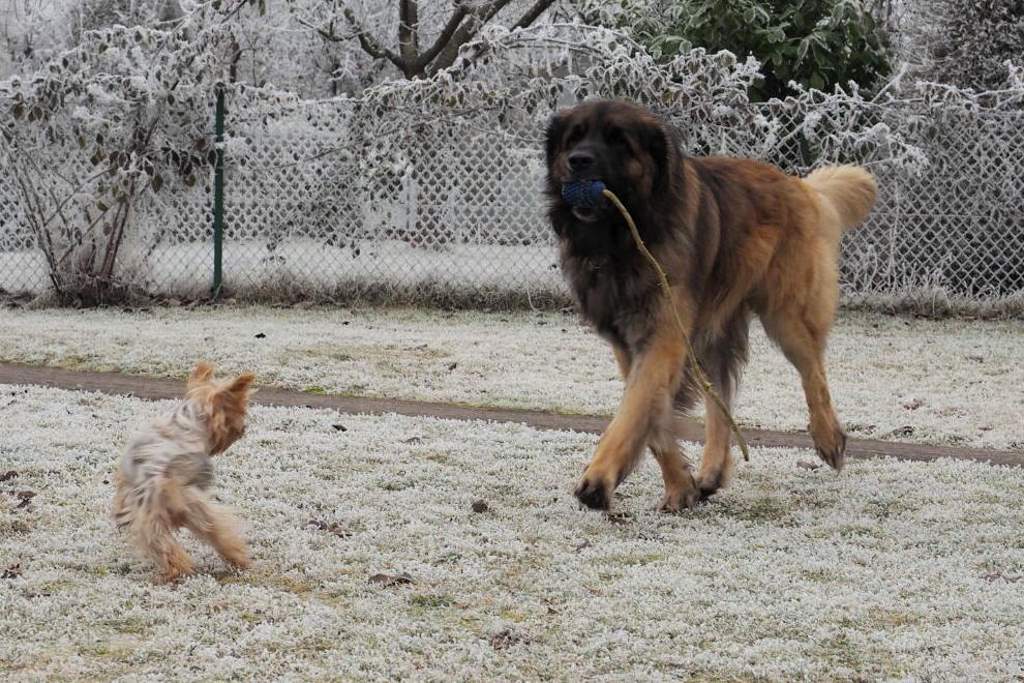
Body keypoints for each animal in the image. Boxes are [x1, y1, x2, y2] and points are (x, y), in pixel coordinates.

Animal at [112, 362, 253, 581]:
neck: (190, 417)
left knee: (161, 544)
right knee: (218, 531)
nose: (243, 429)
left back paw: (177, 570)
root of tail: (157, 483)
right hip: (195, 505)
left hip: (150, 517)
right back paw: (239, 559)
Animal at [548, 98, 876, 509]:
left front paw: (598, 478)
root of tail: (797, 185)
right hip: (713, 332)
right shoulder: (631, 346)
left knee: (813, 371)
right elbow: (653, 420)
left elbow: (634, 411)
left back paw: (829, 438)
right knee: (721, 400)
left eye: (618, 140)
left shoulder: (663, 337)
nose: (578, 161)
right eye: (573, 137)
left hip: (784, 314)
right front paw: (680, 487)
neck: (622, 242)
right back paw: (711, 473)